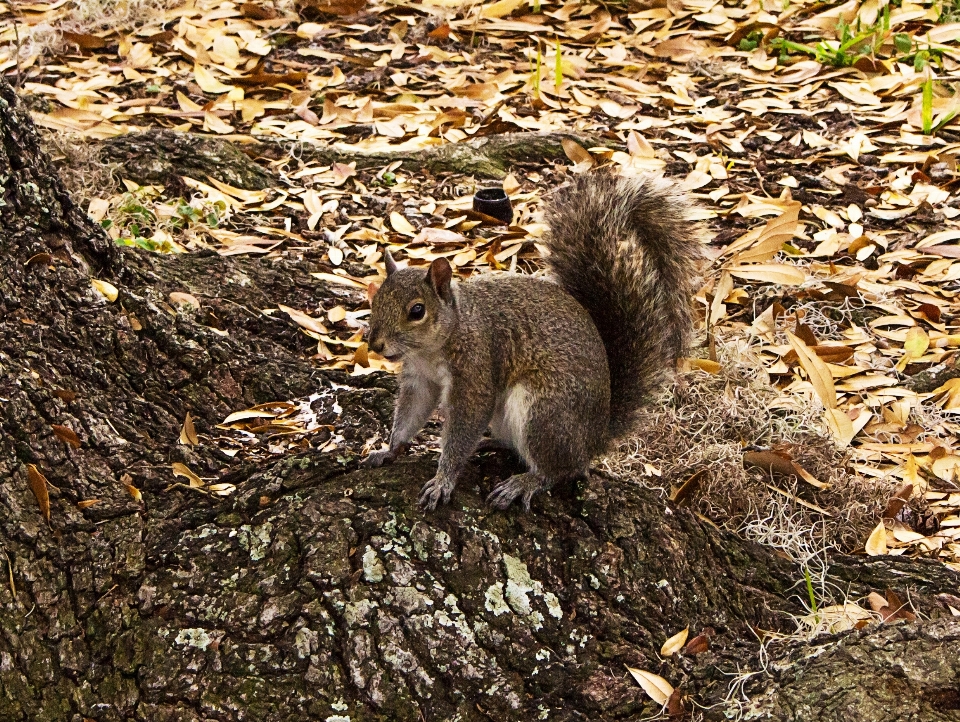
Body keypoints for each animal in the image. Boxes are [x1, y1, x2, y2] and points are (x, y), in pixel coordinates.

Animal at [364, 173, 700, 512]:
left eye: (417, 311)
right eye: (375, 299)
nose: (375, 345)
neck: (435, 346)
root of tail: (594, 439)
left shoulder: (475, 368)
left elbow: (464, 425)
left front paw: (443, 480)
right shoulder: (420, 378)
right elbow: (412, 412)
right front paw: (389, 450)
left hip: (544, 413)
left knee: (561, 469)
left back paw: (525, 482)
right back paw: (491, 442)